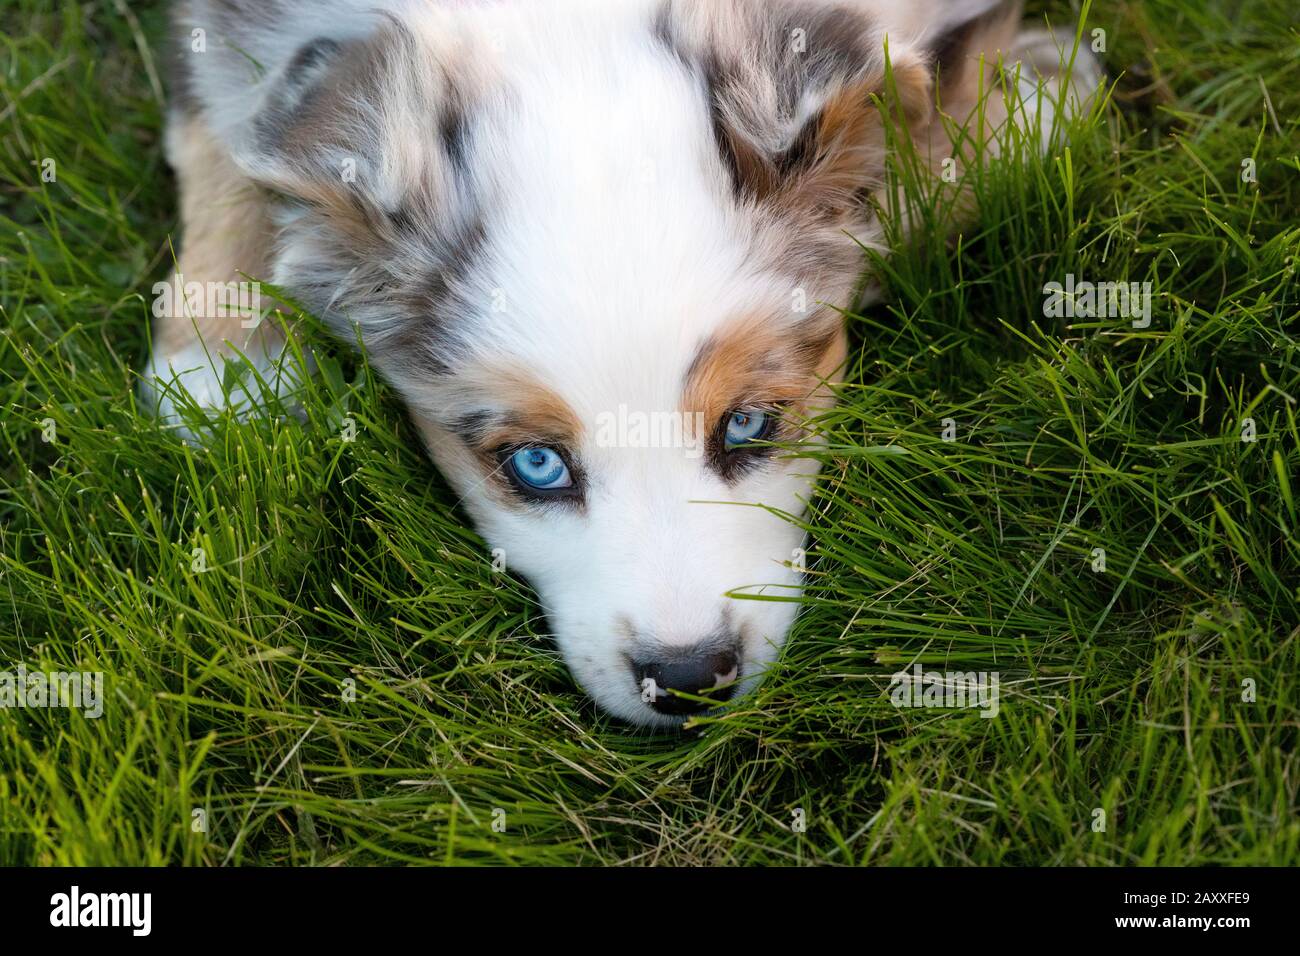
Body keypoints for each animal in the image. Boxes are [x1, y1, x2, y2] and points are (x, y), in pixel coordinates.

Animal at [142, 0, 1097, 728]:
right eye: (536, 465)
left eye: (750, 423)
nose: (689, 680)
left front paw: (1028, 104)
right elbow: (217, 136)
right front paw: (225, 366)